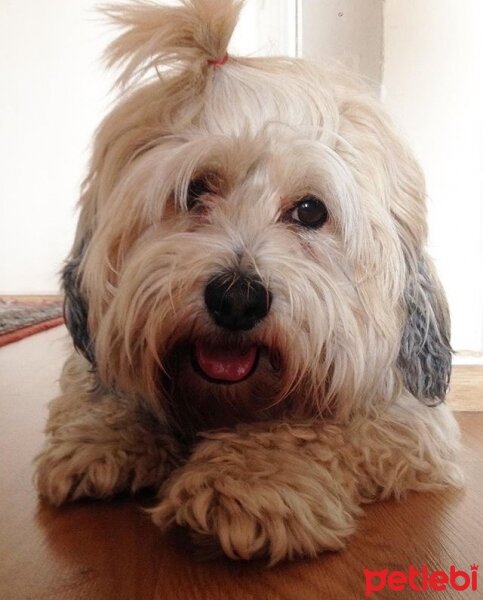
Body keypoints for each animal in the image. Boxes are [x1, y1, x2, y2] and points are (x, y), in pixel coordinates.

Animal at [35, 0, 466, 564]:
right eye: (195, 190)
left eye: (310, 210)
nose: (236, 299)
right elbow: (104, 395)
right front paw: (98, 437)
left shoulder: (409, 423)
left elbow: (315, 427)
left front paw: (248, 482)